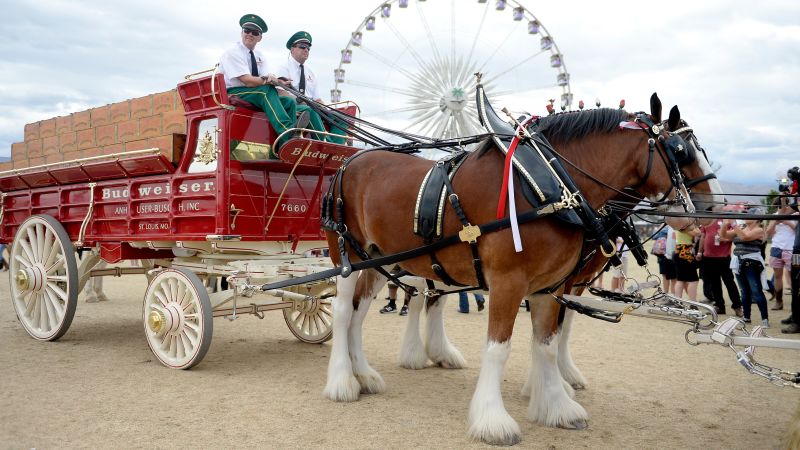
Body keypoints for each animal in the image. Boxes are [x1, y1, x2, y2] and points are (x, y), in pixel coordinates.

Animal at [322, 92, 723, 445]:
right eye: (682, 151)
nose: (714, 208)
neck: (552, 186)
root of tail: (349, 163)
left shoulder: (552, 286)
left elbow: (548, 343)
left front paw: (557, 404)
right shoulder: (509, 282)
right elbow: (500, 348)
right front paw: (493, 420)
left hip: (380, 261)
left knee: (361, 312)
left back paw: (364, 374)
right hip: (347, 259)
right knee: (343, 311)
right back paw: (342, 380)